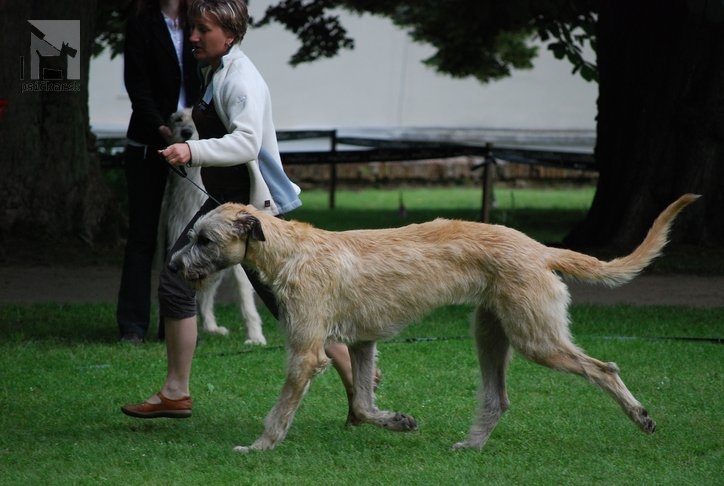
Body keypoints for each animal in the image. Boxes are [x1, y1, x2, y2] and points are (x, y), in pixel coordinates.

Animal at [158, 108, 266, 344]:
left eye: (194, 119)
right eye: (178, 119)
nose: (186, 132)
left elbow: (244, 294)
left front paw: (255, 335)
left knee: (207, 295)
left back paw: (211, 326)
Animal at [170, 194, 700, 452]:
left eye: (203, 238)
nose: (172, 265)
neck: (291, 251)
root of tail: (539, 249)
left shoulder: (305, 354)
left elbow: (279, 412)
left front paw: (258, 447)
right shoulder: (361, 344)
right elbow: (362, 403)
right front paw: (397, 421)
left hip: (537, 338)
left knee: (604, 368)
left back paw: (640, 416)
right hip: (490, 332)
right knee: (498, 397)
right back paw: (471, 444)